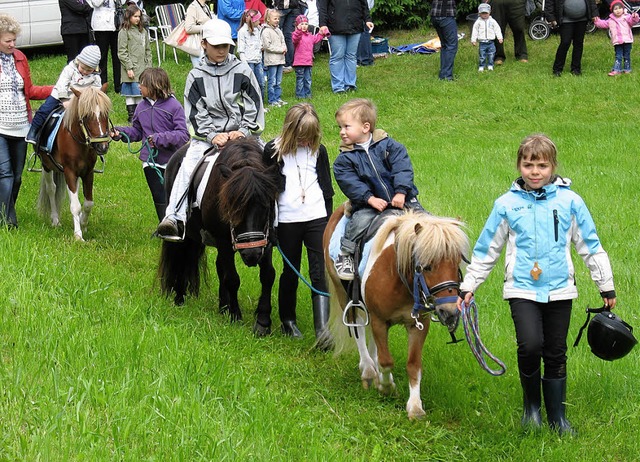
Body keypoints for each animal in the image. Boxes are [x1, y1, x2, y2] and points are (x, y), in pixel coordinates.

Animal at [36, 85, 112, 242]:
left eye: (105, 113)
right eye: (86, 116)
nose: (102, 146)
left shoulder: (88, 173)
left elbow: (88, 203)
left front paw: (83, 223)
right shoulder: (69, 171)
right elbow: (75, 205)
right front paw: (78, 235)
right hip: (47, 166)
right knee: (51, 188)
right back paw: (55, 220)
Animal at [158, 138, 280, 336]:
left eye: (266, 207)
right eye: (231, 208)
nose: (252, 254)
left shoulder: (265, 241)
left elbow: (268, 275)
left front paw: (262, 322)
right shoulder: (224, 242)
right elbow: (232, 278)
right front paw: (235, 316)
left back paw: (223, 306)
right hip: (187, 236)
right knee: (182, 260)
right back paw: (179, 298)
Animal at [324, 206, 470, 418]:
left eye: (457, 262)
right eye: (426, 266)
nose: (449, 310)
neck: (400, 279)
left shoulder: (418, 324)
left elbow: (413, 364)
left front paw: (415, 406)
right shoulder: (379, 320)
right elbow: (386, 361)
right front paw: (386, 387)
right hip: (345, 295)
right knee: (358, 330)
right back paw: (368, 370)